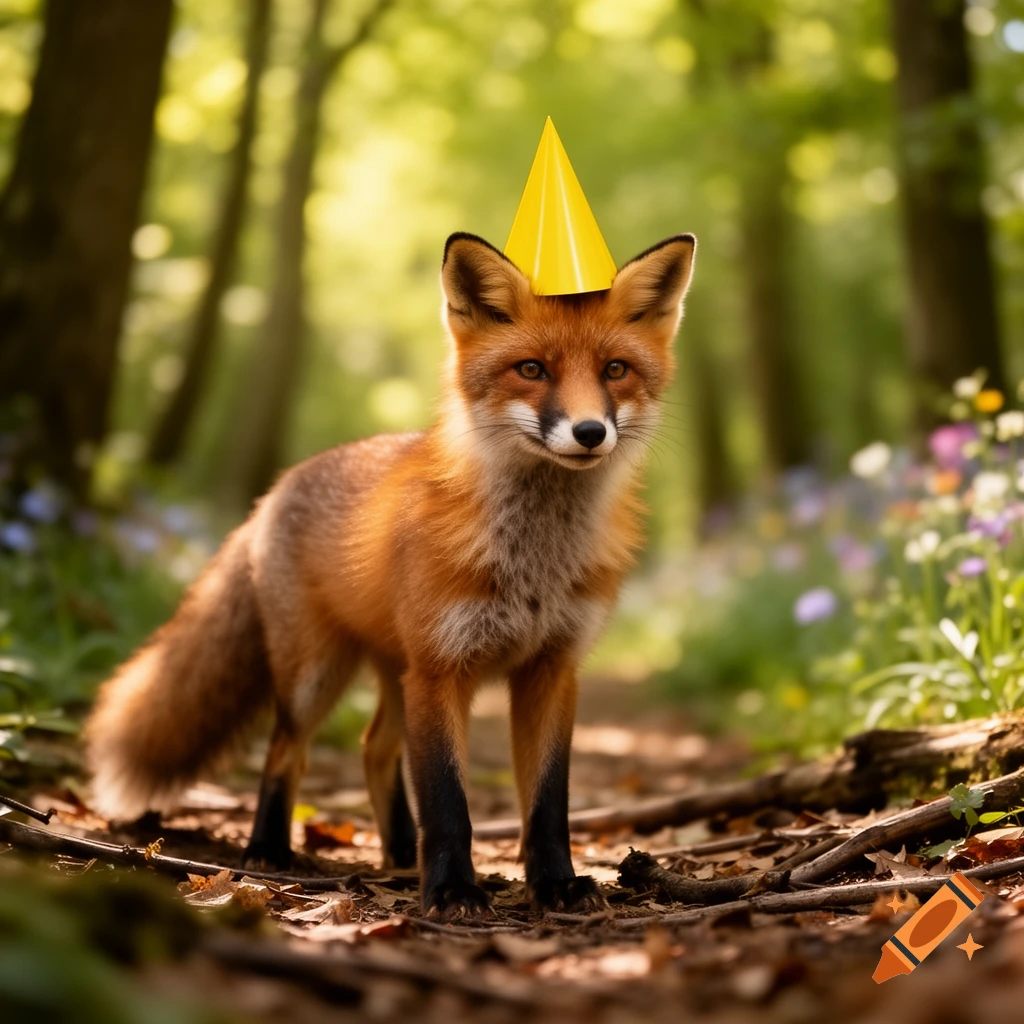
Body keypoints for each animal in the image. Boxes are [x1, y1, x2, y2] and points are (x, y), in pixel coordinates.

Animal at [85, 231, 696, 920]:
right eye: (532, 369)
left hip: (395, 676)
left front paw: (556, 884)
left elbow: (547, 802)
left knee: (374, 748)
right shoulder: (440, 668)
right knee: (286, 751)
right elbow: (448, 799)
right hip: (319, 677)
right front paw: (454, 889)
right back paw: (269, 849)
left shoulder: (552, 670)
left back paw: (401, 852)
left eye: (615, 370)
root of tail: (275, 492)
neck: (532, 563)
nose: (590, 432)